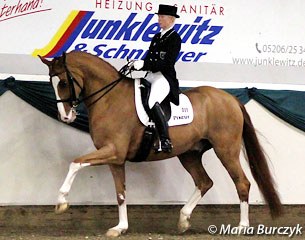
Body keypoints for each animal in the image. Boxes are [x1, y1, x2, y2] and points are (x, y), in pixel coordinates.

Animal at [39, 51, 282, 237]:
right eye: (51, 82)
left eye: (63, 82)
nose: (65, 117)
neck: (110, 99)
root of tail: (231, 99)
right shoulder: (115, 159)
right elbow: (120, 193)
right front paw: (120, 228)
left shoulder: (113, 152)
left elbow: (75, 163)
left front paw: (61, 202)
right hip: (189, 154)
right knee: (204, 182)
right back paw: (183, 220)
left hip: (226, 151)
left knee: (242, 183)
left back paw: (241, 227)